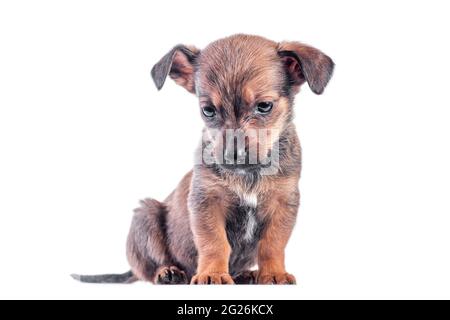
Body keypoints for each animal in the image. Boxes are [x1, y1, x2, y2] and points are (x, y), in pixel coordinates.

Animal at [72, 34, 334, 284]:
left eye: (264, 106)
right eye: (208, 110)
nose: (233, 156)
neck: (248, 175)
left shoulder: (283, 202)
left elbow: (272, 244)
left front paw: (274, 274)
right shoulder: (206, 202)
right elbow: (214, 243)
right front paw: (213, 274)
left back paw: (244, 274)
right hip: (145, 215)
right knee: (148, 268)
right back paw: (168, 273)